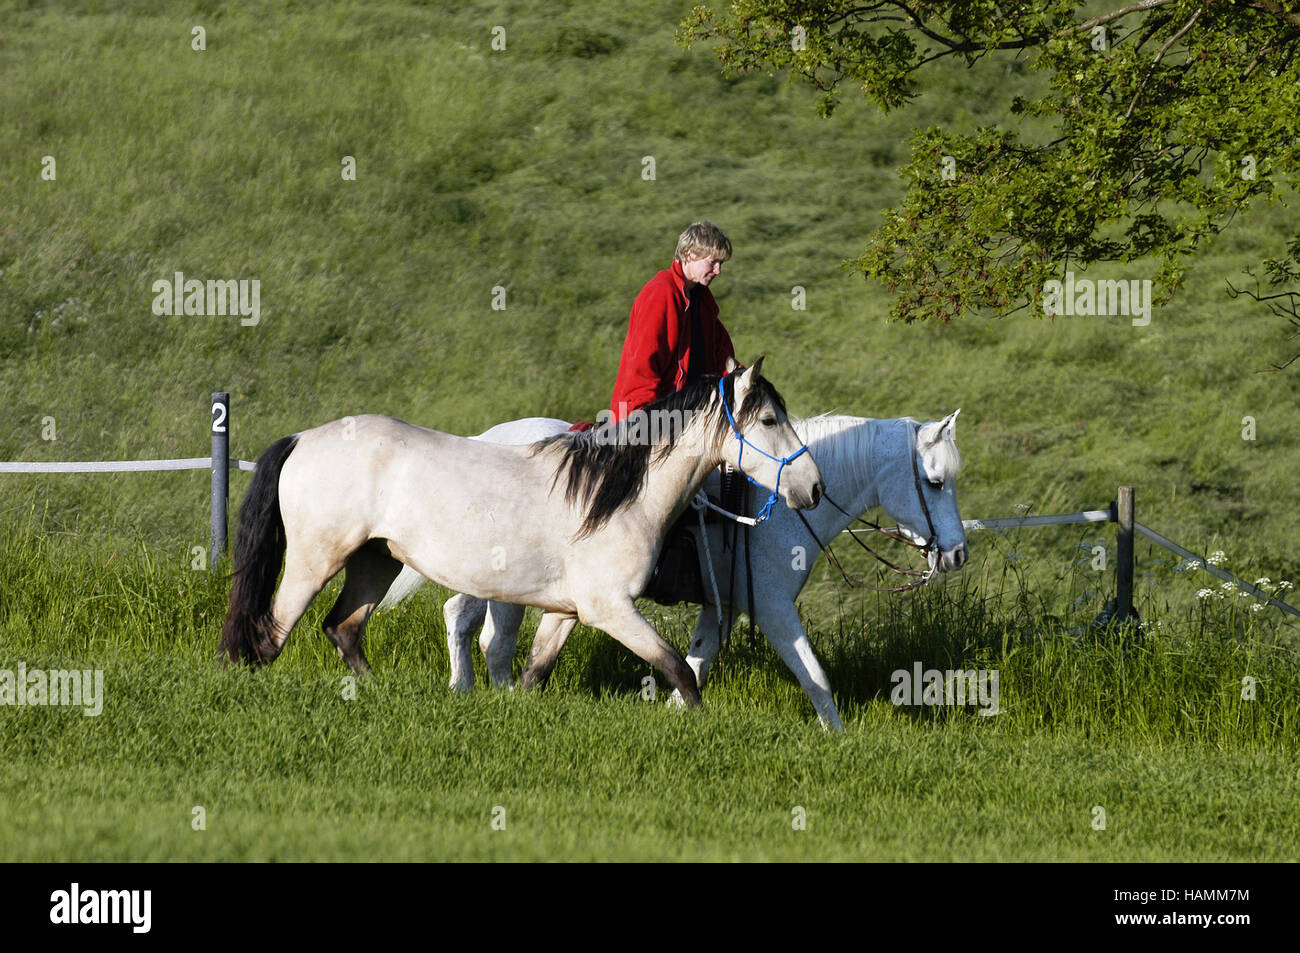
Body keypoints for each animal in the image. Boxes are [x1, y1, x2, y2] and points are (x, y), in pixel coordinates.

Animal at [217, 358, 816, 707]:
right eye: (768, 420)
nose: (812, 486)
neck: (617, 496)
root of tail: (303, 437)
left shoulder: (566, 611)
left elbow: (534, 674)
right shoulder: (612, 609)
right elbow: (679, 671)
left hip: (376, 560)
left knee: (342, 628)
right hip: (315, 561)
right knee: (270, 635)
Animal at [379, 405, 967, 722]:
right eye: (936, 481)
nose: (958, 553)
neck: (774, 502)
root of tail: (488, 437)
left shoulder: (720, 608)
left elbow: (697, 662)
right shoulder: (773, 608)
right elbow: (814, 676)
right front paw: (837, 739)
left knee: (471, 624)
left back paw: (472, 689)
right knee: (483, 632)